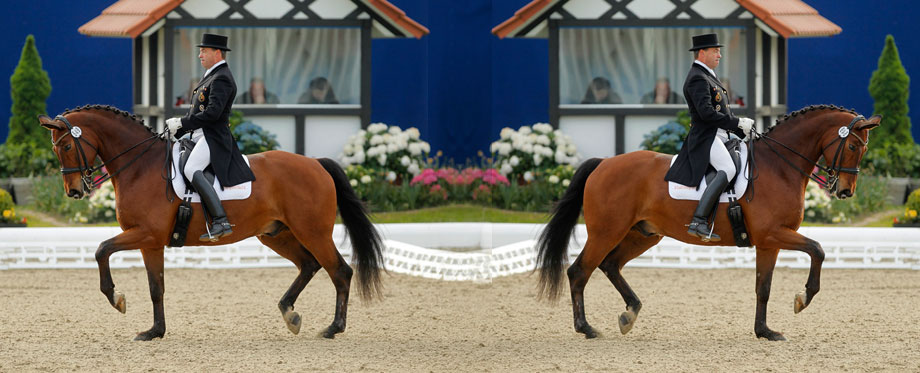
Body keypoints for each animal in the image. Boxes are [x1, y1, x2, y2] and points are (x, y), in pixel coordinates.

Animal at [38, 105, 384, 340]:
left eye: (66, 146)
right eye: (54, 148)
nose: (74, 191)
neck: (141, 167)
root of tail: (315, 163)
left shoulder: (145, 234)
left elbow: (101, 250)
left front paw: (117, 299)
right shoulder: (151, 243)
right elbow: (156, 287)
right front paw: (155, 331)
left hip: (312, 231)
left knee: (340, 271)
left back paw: (333, 328)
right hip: (276, 234)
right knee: (309, 265)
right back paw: (290, 314)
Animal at [536, 104, 880, 340]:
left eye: (864, 149)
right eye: (852, 146)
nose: (845, 192)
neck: (778, 167)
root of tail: (603, 163)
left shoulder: (768, 243)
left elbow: (763, 287)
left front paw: (765, 331)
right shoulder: (775, 234)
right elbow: (818, 250)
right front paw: (802, 299)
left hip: (643, 234)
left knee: (610, 265)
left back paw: (629, 314)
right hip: (607, 231)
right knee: (580, 271)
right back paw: (586, 328)